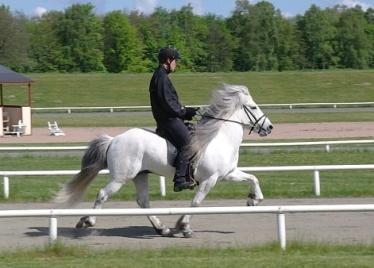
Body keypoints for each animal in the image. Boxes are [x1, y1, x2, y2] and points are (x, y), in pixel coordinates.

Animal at [55, 84, 272, 237]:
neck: (219, 139)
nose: (269, 127)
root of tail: (114, 139)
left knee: (143, 201)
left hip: (140, 175)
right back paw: (88, 221)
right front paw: (184, 227)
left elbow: (253, 178)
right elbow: (196, 202)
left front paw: (253, 200)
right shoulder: (210, 180)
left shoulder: (227, 174)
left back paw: (162, 229)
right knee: (102, 194)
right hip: (121, 178)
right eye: (253, 107)